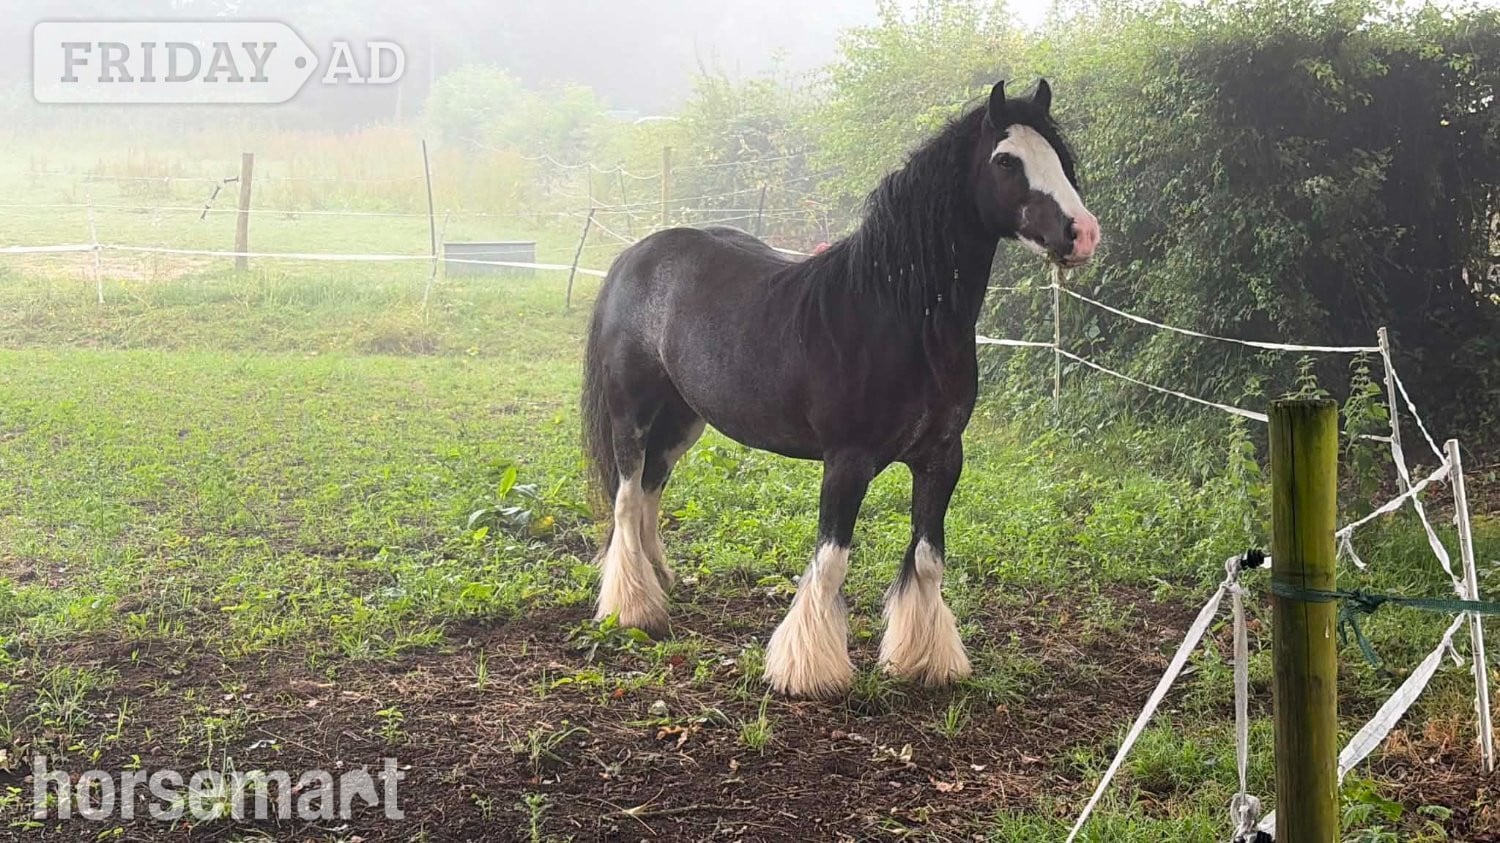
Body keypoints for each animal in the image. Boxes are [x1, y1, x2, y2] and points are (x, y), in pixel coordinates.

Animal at [580, 79, 1099, 698]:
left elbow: (928, 559)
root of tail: (633, 256)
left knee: (651, 489)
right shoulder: (846, 461)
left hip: (684, 420)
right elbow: (831, 561)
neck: (898, 315)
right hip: (630, 414)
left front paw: (924, 661)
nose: (1082, 234)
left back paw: (661, 581)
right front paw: (809, 670)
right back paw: (633, 608)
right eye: (1005, 161)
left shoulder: (942, 457)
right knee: (627, 496)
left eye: (1061, 158)